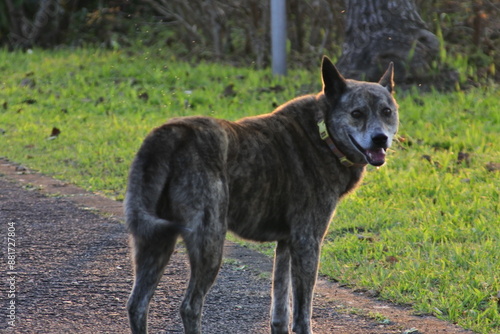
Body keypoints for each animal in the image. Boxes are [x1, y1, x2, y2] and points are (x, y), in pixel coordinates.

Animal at [125, 56, 398, 332]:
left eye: (387, 112)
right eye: (356, 113)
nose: (380, 139)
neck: (323, 134)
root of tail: (171, 133)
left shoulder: (286, 243)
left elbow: (280, 308)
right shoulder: (308, 242)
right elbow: (302, 314)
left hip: (154, 241)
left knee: (137, 305)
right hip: (209, 243)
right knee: (190, 306)